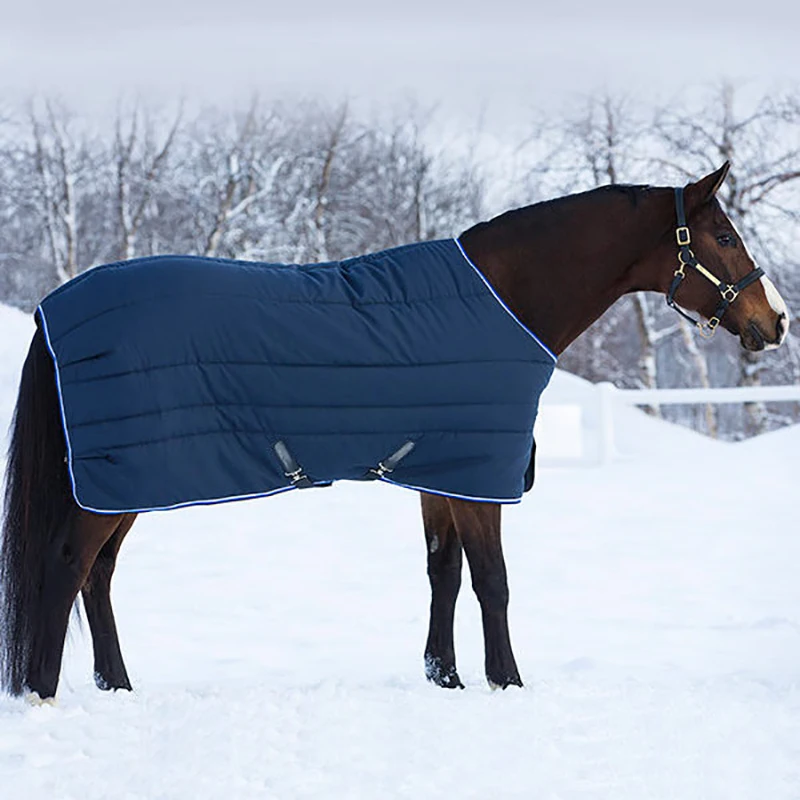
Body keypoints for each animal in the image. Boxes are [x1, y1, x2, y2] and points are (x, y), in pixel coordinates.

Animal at [0, 161, 789, 702]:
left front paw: (446, 678)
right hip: (117, 478)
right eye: (723, 235)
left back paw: (117, 686)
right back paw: (43, 693)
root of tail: (54, 305)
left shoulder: (439, 473)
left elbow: (444, 574)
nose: (776, 320)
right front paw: (508, 682)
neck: (501, 301)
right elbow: (493, 581)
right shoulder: (478, 478)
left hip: (124, 479)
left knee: (97, 576)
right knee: (67, 566)